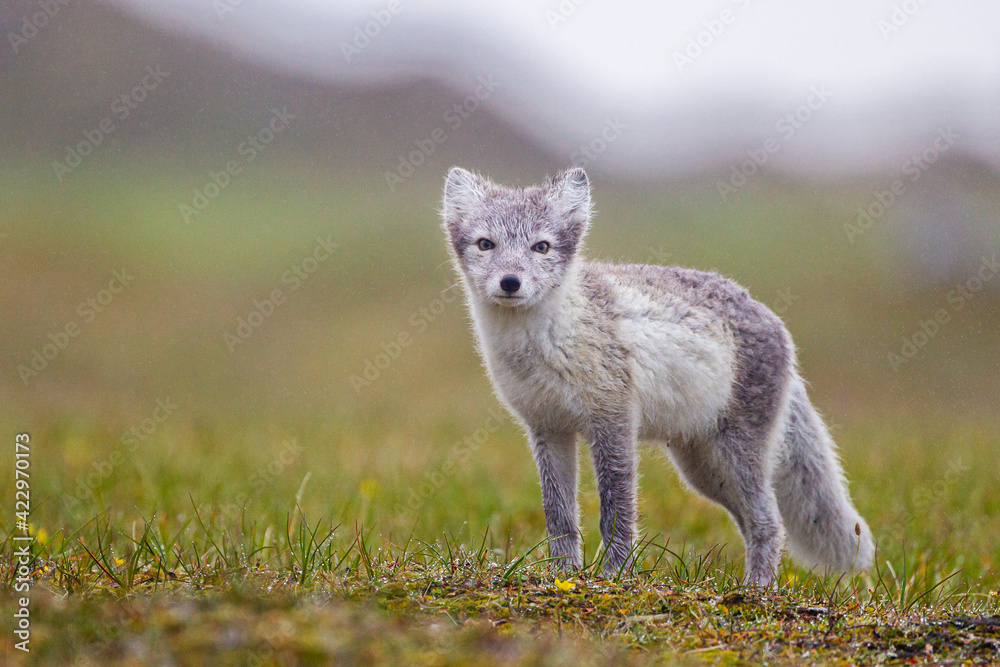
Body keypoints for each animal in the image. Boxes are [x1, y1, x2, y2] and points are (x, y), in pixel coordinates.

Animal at [440, 166, 875, 585]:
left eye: (541, 247)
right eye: (486, 244)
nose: (510, 282)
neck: (547, 338)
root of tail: (775, 322)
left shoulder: (614, 421)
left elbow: (616, 510)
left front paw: (613, 574)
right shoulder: (548, 426)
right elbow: (559, 515)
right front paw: (562, 574)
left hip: (735, 457)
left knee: (768, 521)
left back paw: (758, 589)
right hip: (704, 470)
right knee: (755, 521)